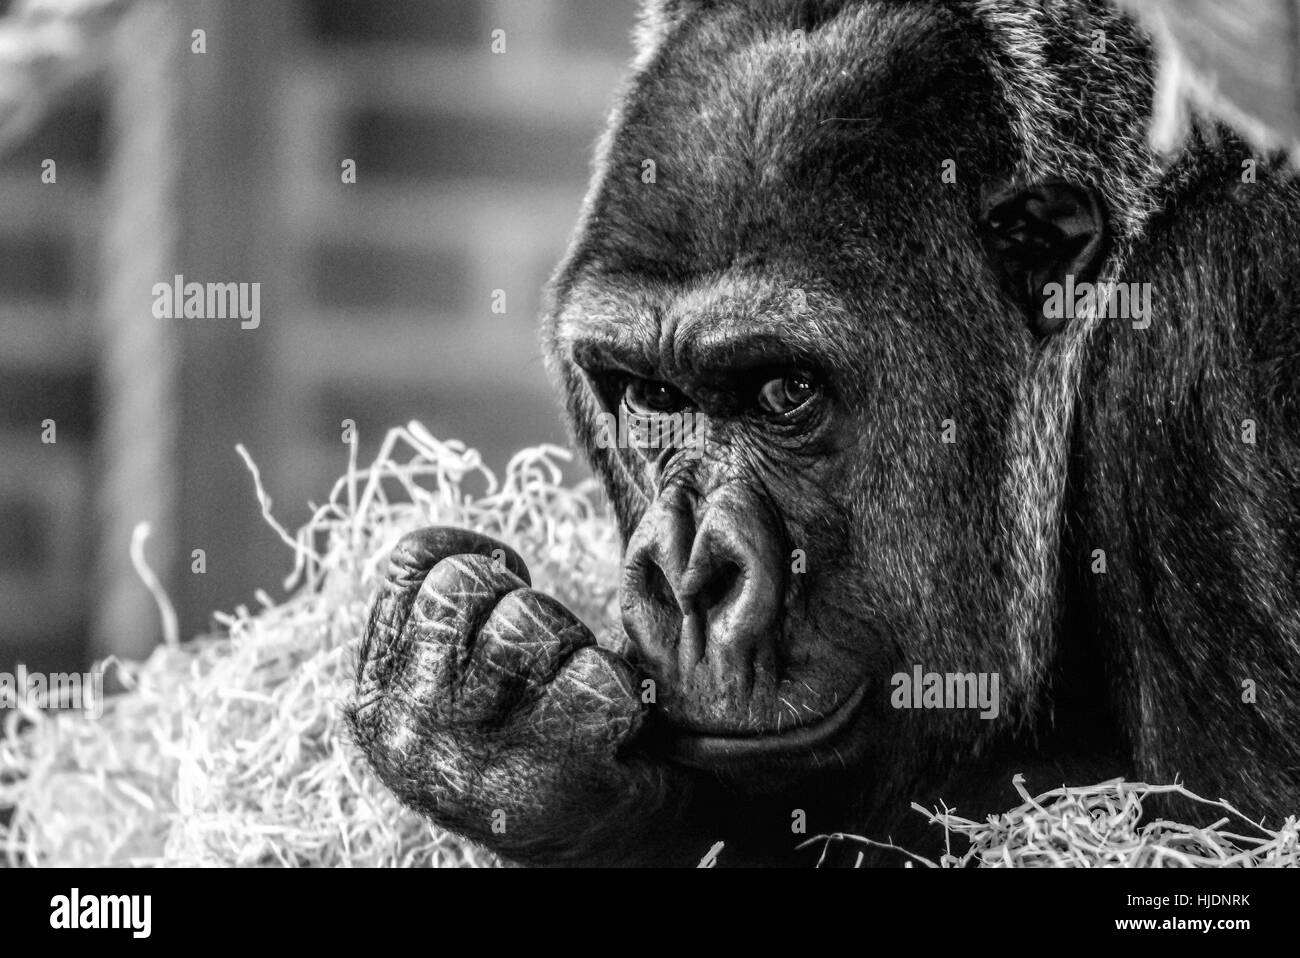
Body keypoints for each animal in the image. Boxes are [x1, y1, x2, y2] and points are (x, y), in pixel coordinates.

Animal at [348, 0, 1300, 868]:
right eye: (651, 394)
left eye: (787, 391)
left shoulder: (1202, 339)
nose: (687, 576)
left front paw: (542, 774)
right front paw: (487, 740)